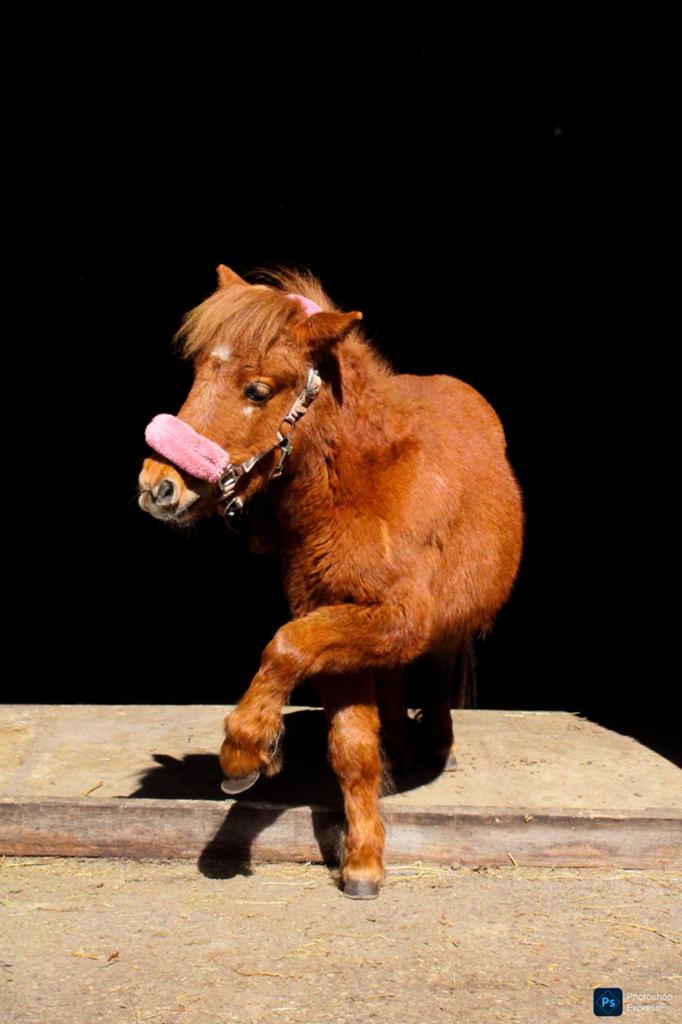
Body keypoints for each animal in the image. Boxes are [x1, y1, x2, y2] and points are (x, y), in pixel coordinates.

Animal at [138, 263, 524, 898]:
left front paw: (243, 752)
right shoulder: (336, 625)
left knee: (439, 675)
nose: (157, 486)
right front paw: (363, 858)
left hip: (444, 629)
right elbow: (351, 749)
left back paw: (438, 744)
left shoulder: (394, 621)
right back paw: (400, 745)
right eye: (197, 375)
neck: (364, 487)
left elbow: (285, 647)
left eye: (257, 390)